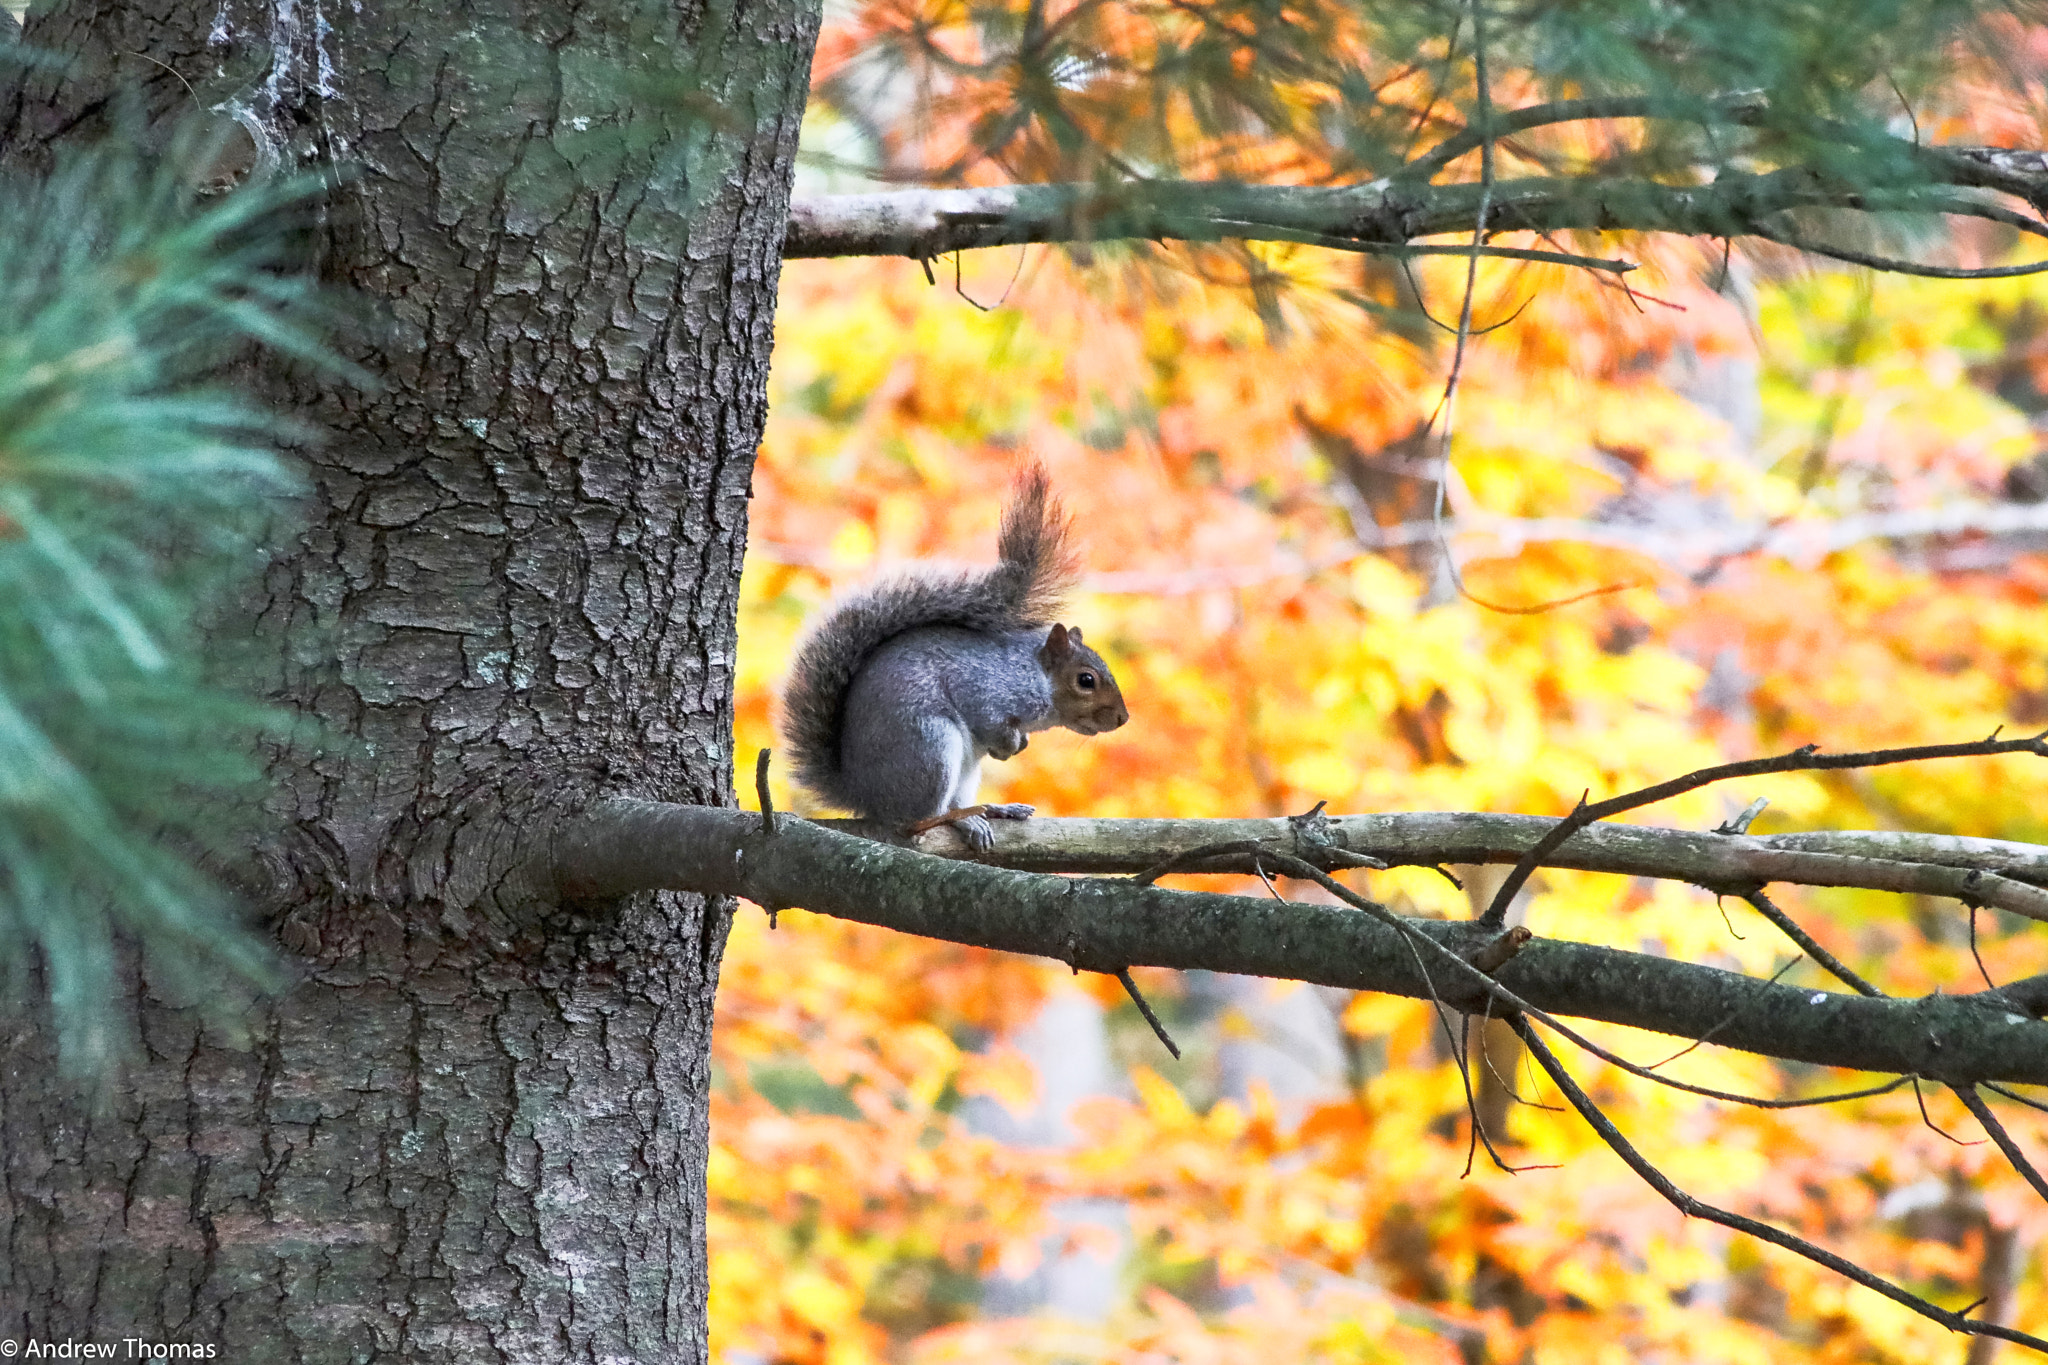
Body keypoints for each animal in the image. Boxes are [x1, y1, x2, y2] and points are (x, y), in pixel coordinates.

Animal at [781, 467, 1129, 850]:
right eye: (1086, 680)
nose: (1122, 718)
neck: (1036, 676)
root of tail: (863, 796)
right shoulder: (986, 688)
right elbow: (989, 720)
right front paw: (1010, 743)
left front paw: (1018, 745)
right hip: (930, 746)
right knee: (917, 820)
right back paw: (965, 819)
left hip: (963, 770)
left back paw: (993, 811)